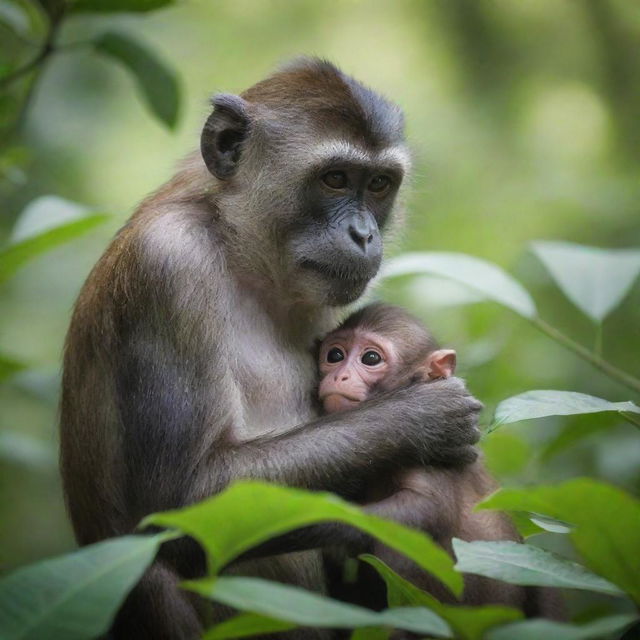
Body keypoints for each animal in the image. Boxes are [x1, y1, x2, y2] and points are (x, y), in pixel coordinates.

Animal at [61, 57, 480, 636]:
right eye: (334, 178)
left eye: (378, 184)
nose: (363, 234)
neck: (235, 246)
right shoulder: (166, 266)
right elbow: (180, 502)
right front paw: (420, 419)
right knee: (154, 572)